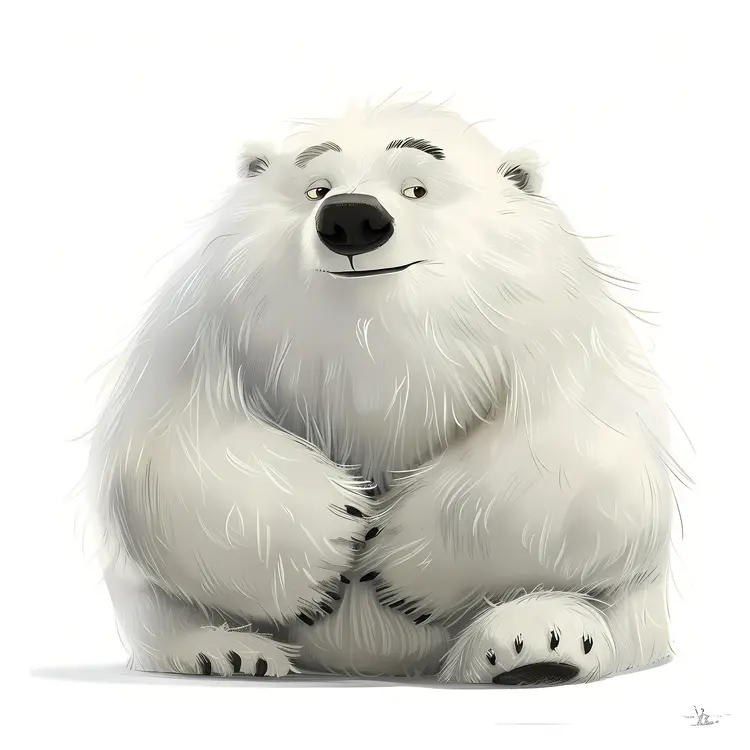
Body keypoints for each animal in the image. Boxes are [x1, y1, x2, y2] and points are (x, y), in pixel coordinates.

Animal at [88, 95, 680, 685]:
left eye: (417, 188)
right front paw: (333, 532)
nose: (351, 217)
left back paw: (536, 646)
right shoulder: (206, 321)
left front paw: (399, 555)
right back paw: (226, 653)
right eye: (316, 188)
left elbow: (582, 463)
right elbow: (173, 450)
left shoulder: (560, 327)